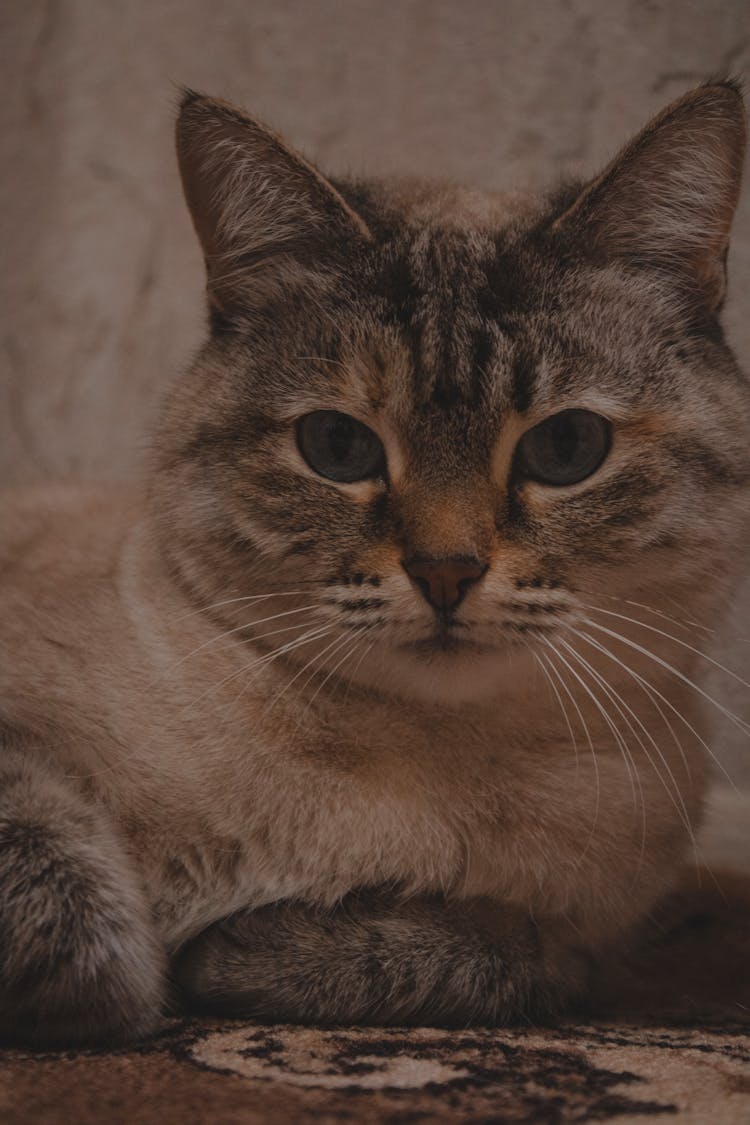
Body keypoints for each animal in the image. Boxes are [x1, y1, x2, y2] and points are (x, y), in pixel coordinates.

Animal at [1, 79, 750, 1044]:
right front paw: (152, 975)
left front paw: (245, 951)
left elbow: (506, 957)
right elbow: (95, 952)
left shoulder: (585, 938)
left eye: (567, 448)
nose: (445, 571)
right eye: (337, 446)